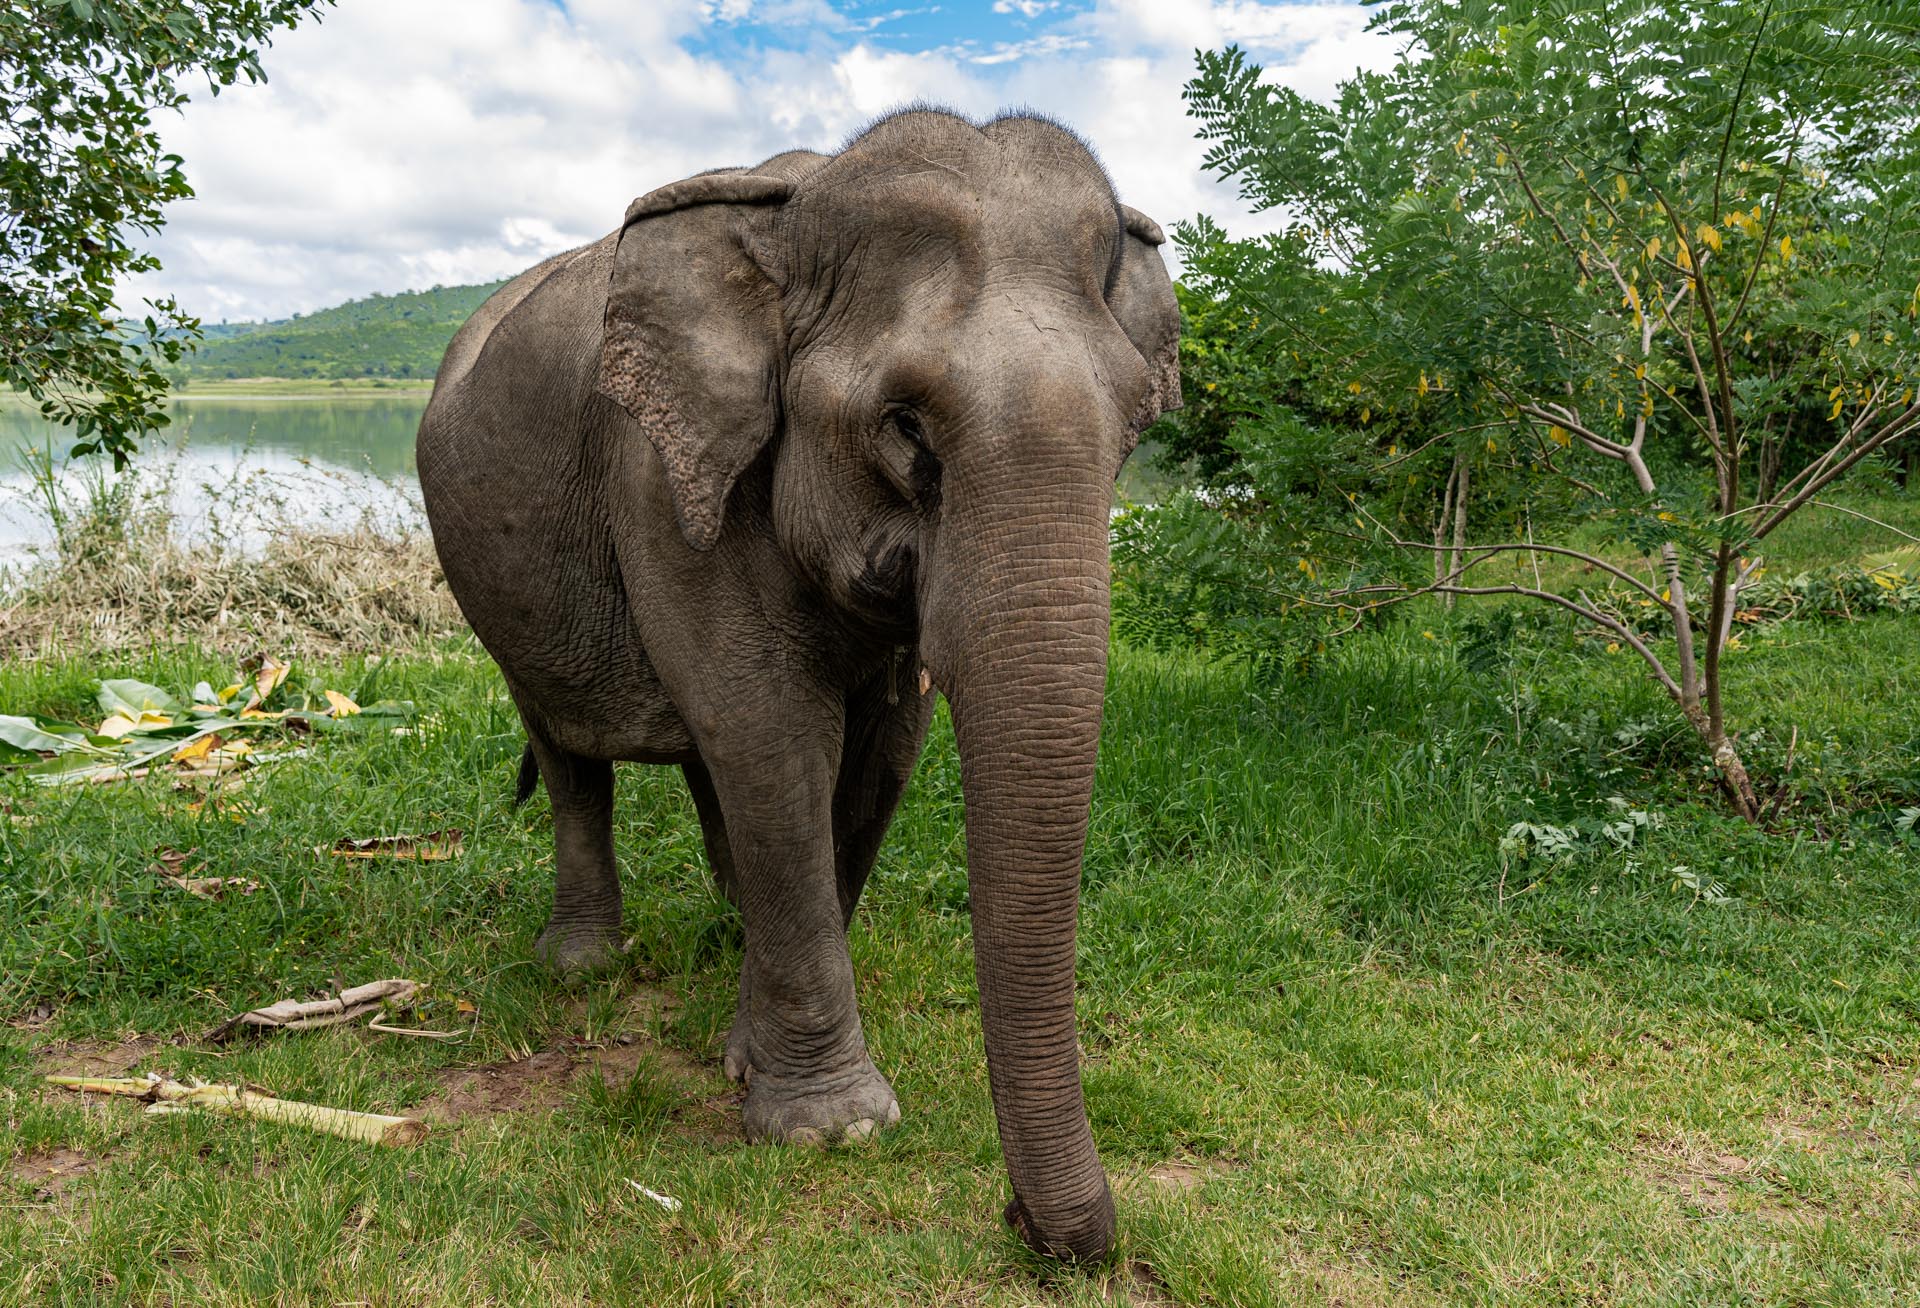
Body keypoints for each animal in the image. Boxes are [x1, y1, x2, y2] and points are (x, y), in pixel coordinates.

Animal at [415, 107, 1180, 1260]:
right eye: (906, 426)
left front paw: (749, 1042)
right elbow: (772, 734)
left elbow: (874, 759)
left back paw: (731, 929)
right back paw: (582, 964)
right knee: (570, 752)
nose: (1033, 1230)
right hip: (496, 594)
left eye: (1137, 421)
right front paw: (831, 1128)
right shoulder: (663, 475)